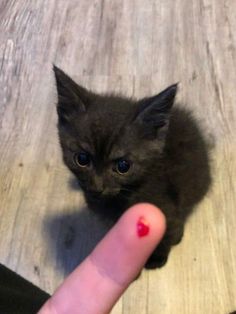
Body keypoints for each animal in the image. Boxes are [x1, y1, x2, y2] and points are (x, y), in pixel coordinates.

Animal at [54, 65, 212, 268]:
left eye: (123, 166)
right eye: (82, 159)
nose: (97, 187)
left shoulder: (167, 209)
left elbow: (168, 233)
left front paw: (158, 257)